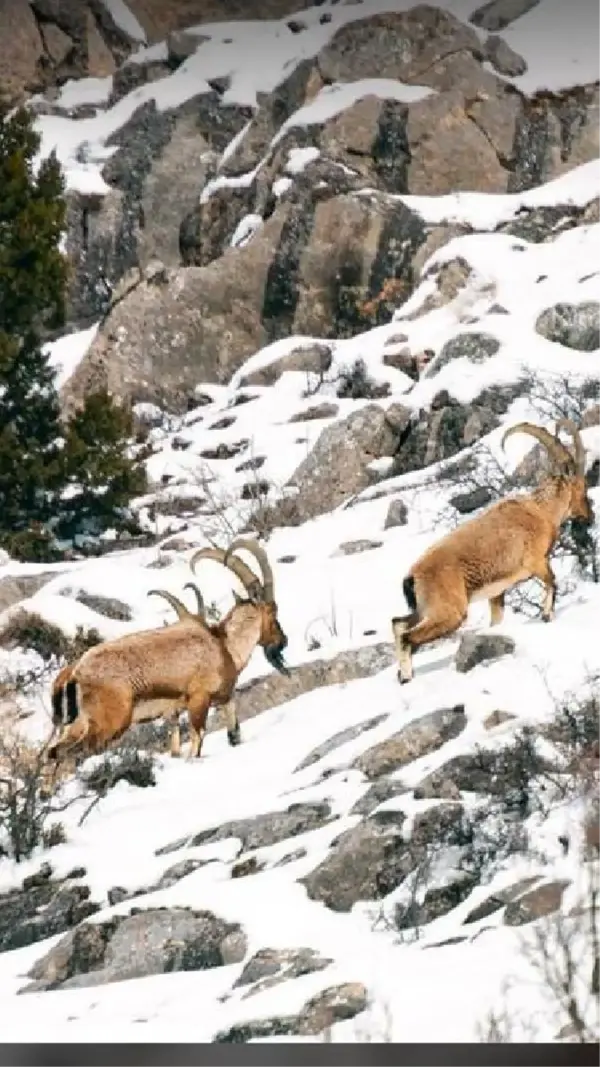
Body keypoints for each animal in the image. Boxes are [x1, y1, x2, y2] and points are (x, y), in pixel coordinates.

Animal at [47, 542, 286, 759]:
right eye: (273, 614)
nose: (283, 641)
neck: (223, 646)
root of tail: (75, 673)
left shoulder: (207, 704)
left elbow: (229, 734)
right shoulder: (198, 699)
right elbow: (196, 742)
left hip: (77, 724)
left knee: (54, 752)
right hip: (108, 723)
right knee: (76, 751)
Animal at [390, 416, 589, 682]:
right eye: (583, 488)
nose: (590, 515)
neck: (541, 511)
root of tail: (412, 577)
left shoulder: (497, 591)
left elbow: (497, 620)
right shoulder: (535, 561)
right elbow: (552, 581)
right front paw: (547, 615)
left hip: (425, 609)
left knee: (398, 623)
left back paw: (404, 674)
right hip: (450, 612)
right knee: (406, 636)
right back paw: (406, 677)